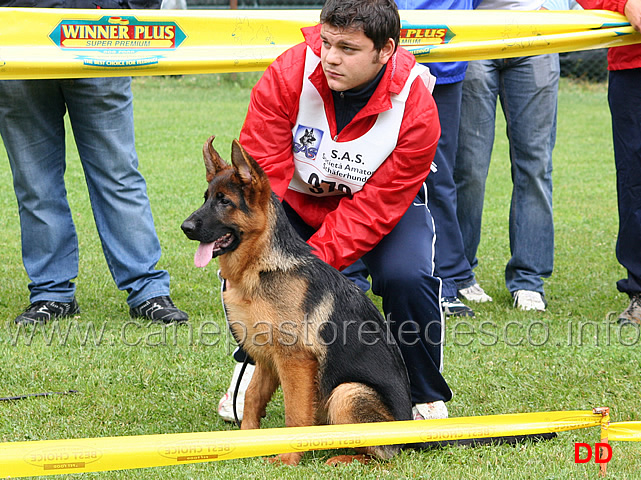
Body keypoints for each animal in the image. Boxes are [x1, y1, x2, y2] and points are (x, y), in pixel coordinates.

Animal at [181, 135, 410, 464]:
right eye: (206, 198)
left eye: (225, 202)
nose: (185, 228)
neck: (261, 268)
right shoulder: (266, 358)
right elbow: (252, 398)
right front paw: (248, 441)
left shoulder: (295, 361)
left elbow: (295, 414)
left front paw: (288, 459)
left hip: (347, 392)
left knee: (383, 456)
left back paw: (343, 459)